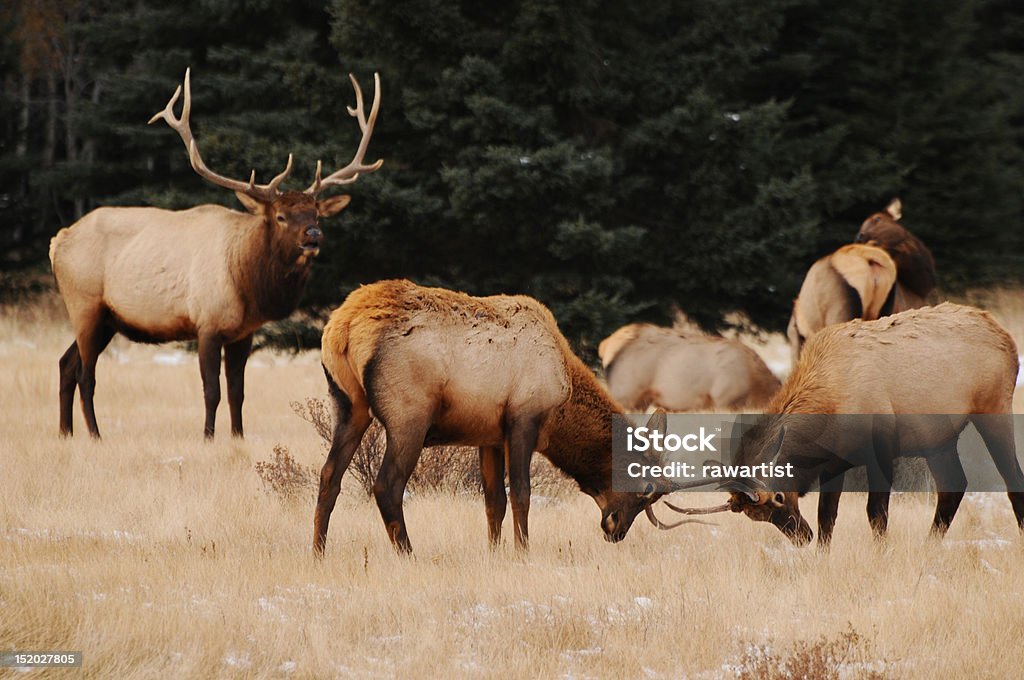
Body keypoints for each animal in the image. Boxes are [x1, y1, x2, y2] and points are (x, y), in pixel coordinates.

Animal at [50, 69, 385, 438]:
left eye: (316, 213)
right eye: (280, 216)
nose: (313, 235)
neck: (247, 282)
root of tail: (58, 240)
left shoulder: (243, 333)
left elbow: (238, 392)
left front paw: (238, 436)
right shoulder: (206, 323)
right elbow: (212, 391)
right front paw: (208, 437)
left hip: (107, 318)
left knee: (66, 363)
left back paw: (65, 433)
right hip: (84, 304)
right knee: (85, 374)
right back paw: (95, 435)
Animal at [675, 303, 1019, 548]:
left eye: (779, 499)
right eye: (758, 518)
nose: (802, 538)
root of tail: (1007, 337)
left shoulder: (882, 449)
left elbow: (876, 513)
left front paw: (880, 554)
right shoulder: (833, 463)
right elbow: (826, 516)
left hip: (994, 409)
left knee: (1012, 477)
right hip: (938, 438)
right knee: (953, 486)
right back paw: (928, 547)